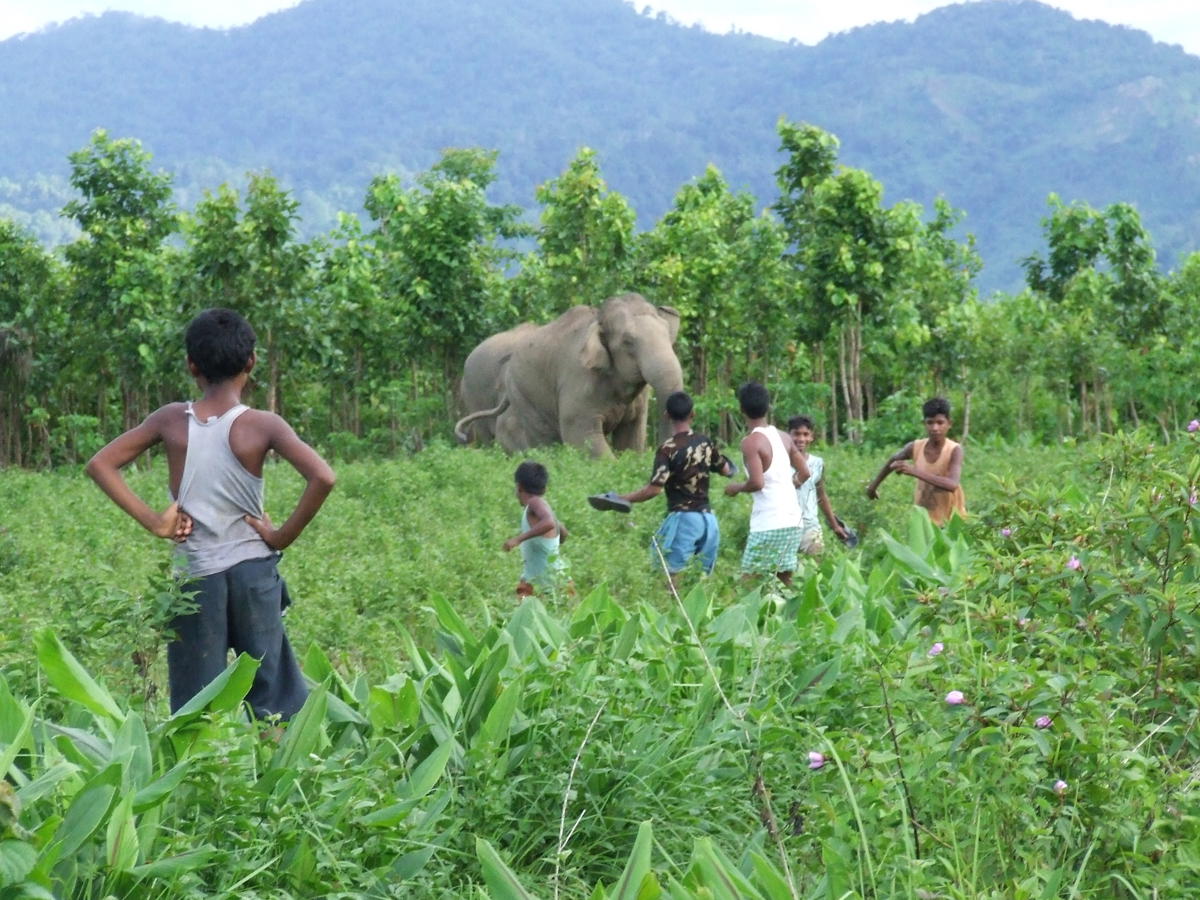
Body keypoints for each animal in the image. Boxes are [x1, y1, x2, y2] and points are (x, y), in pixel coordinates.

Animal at [454, 293, 685, 457]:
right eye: (628, 342)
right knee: (543, 440)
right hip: (519, 395)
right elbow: (582, 435)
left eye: (668, 334)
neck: (597, 320)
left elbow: (632, 437)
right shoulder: (579, 381)